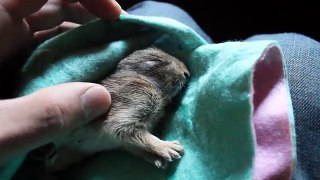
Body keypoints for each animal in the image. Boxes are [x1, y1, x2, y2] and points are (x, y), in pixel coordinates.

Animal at [28, 46, 189, 170]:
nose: (186, 73)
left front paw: (158, 159)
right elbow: (139, 135)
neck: (142, 77)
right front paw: (169, 148)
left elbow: (136, 144)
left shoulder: (124, 141)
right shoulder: (129, 109)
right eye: (155, 61)